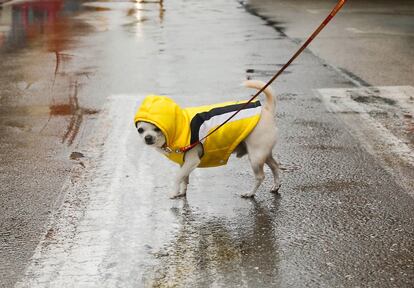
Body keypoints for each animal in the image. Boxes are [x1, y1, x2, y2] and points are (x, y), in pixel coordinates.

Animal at [134, 80, 280, 199]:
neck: (179, 126)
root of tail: (267, 110)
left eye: (157, 129)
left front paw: (173, 192)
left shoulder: (191, 161)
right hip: (263, 154)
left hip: (255, 157)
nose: (148, 138)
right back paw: (276, 186)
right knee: (275, 166)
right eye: (140, 130)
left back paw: (250, 193)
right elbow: (184, 178)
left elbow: (177, 177)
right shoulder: (184, 163)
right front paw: (182, 192)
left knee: (260, 176)